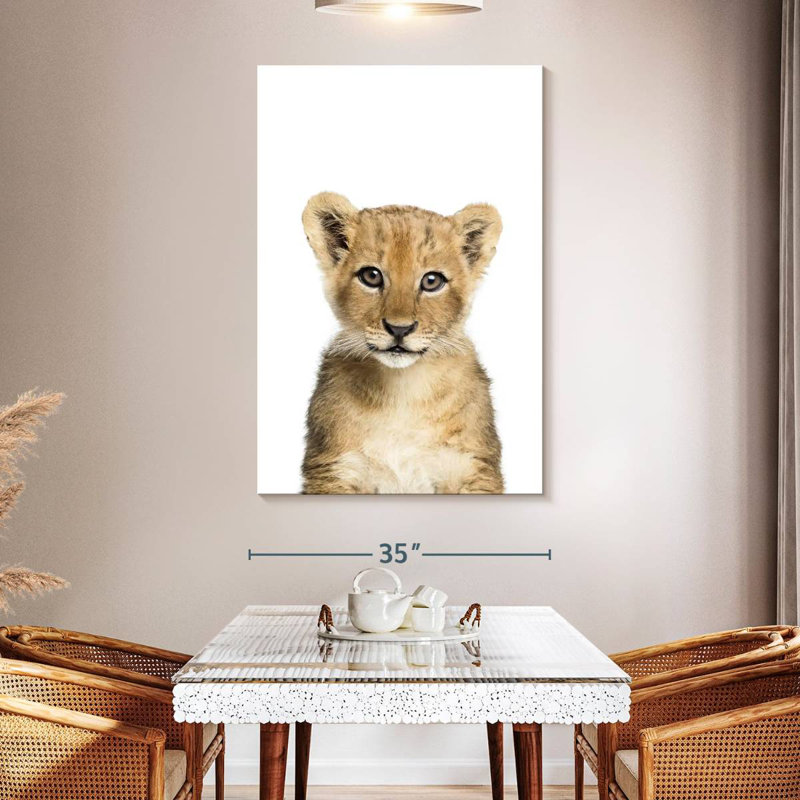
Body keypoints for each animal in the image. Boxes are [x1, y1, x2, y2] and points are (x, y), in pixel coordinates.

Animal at [300, 192, 504, 494]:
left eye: (432, 281)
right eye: (371, 276)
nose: (399, 329)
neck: (402, 391)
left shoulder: (472, 468)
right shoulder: (334, 469)